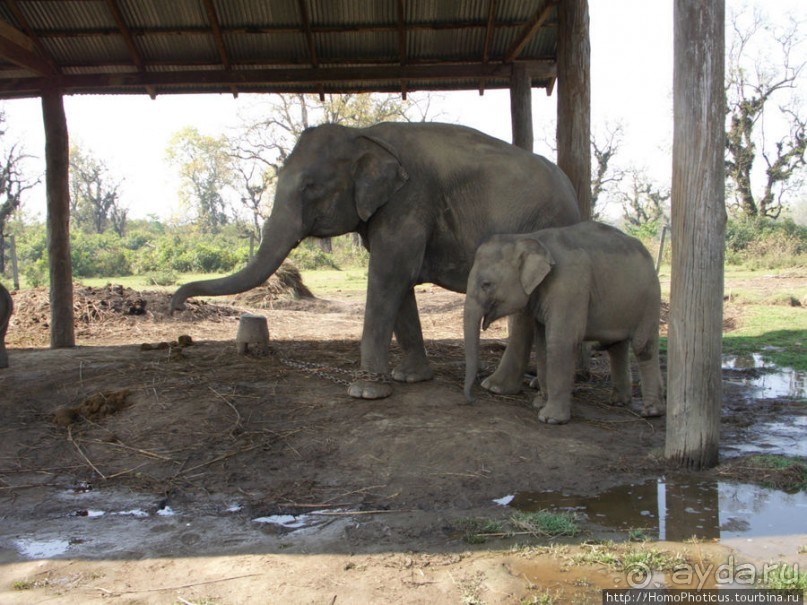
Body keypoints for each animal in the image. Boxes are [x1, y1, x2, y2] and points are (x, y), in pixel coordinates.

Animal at [175, 121, 580, 396]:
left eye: (310, 187)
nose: (178, 306)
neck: (364, 135)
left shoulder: (409, 201)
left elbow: (390, 275)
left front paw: (365, 392)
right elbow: (401, 282)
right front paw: (409, 378)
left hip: (543, 226)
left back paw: (504, 386)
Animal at [464, 219, 664, 422]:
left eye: (486, 284)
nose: (472, 400)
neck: (529, 238)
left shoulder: (568, 285)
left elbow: (560, 341)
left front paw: (549, 418)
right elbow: (543, 342)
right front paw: (540, 404)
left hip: (650, 300)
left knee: (642, 346)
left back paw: (651, 412)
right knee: (616, 346)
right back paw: (618, 402)